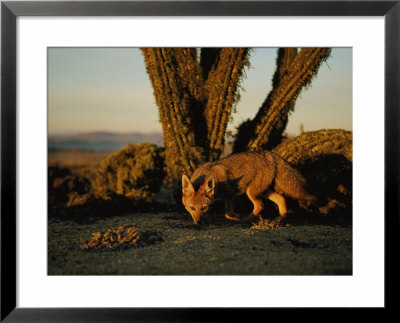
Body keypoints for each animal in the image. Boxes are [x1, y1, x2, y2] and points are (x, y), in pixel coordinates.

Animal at [181, 151, 316, 225]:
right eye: (192, 208)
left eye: (204, 208)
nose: (198, 222)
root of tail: (270, 155)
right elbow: (227, 213)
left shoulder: (231, 195)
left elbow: (228, 213)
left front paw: (238, 217)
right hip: (262, 191)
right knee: (281, 199)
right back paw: (280, 219)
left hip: (251, 192)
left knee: (260, 205)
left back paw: (247, 219)